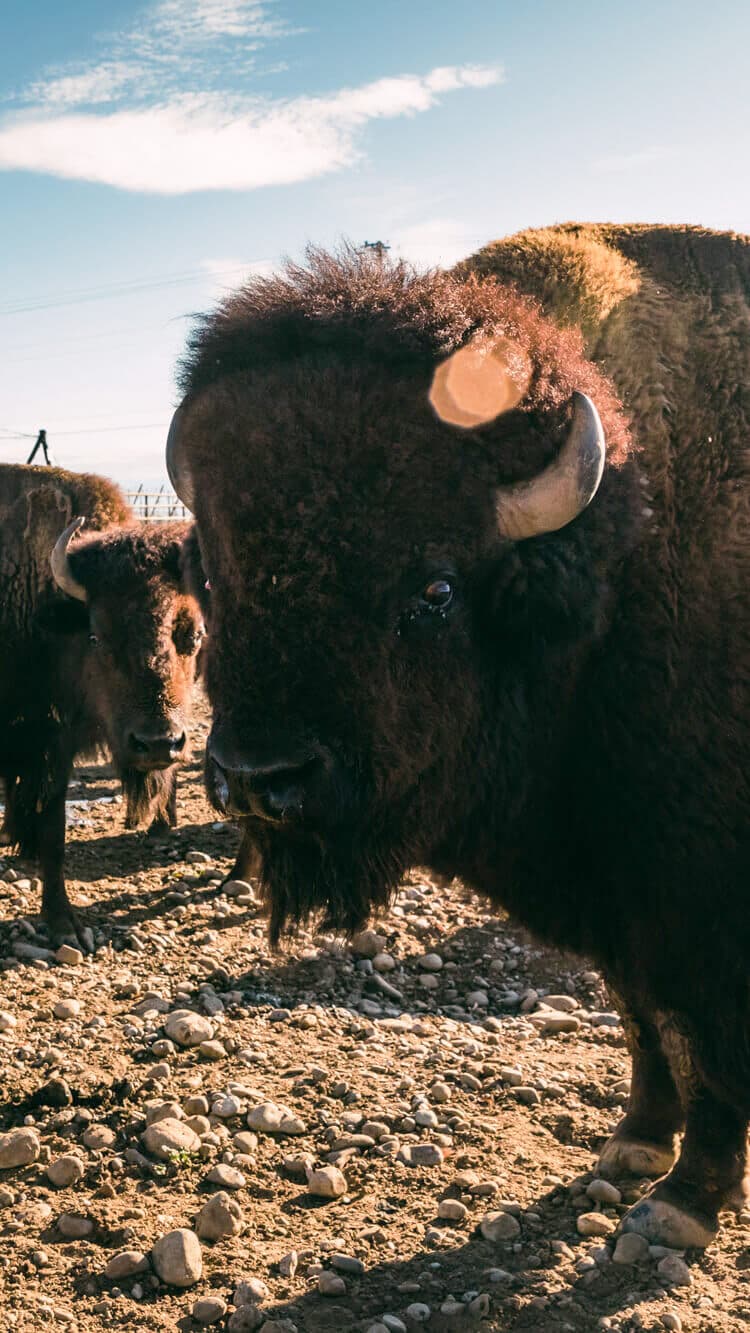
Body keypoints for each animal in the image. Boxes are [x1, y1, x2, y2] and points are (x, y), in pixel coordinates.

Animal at [0, 464, 205, 948]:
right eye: (97, 636)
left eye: (193, 636)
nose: (158, 743)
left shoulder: (53, 749)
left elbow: (53, 831)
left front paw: (64, 924)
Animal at [167, 228, 750, 1250]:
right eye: (210, 569)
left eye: (434, 589)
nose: (261, 776)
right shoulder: (615, 896)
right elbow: (642, 1016)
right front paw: (634, 1145)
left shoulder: (698, 894)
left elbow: (706, 1032)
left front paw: (683, 1202)